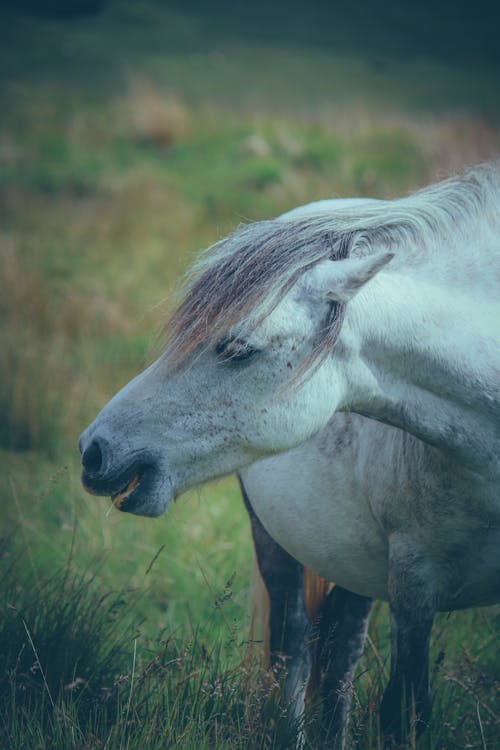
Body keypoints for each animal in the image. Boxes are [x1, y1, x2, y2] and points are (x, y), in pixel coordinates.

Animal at [78, 164, 500, 748]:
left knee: (339, 649)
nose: (95, 451)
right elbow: (402, 710)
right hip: (281, 540)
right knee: (296, 643)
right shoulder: (415, 583)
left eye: (235, 348)